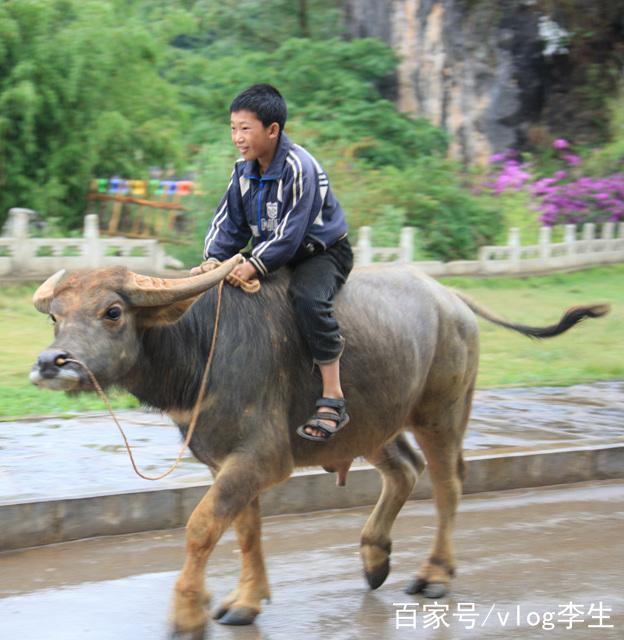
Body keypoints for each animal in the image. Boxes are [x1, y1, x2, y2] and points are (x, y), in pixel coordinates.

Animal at [30, 258, 608, 632]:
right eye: (56, 316)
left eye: (112, 311)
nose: (51, 363)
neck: (200, 348)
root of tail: (450, 299)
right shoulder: (228, 461)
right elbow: (245, 530)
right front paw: (246, 601)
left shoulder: (260, 458)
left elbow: (201, 526)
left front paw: (189, 612)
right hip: (373, 420)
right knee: (404, 468)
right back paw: (374, 556)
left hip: (442, 411)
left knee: (448, 483)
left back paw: (434, 575)